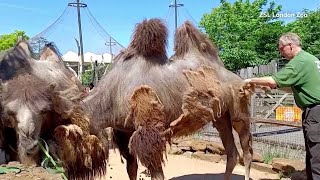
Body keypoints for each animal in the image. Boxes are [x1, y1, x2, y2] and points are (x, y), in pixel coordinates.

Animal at [81, 17, 254, 180]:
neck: (112, 93)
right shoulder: (124, 132)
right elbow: (131, 169)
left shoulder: (149, 132)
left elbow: (156, 173)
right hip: (221, 116)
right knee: (232, 153)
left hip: (239, 109)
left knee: (246, 150)